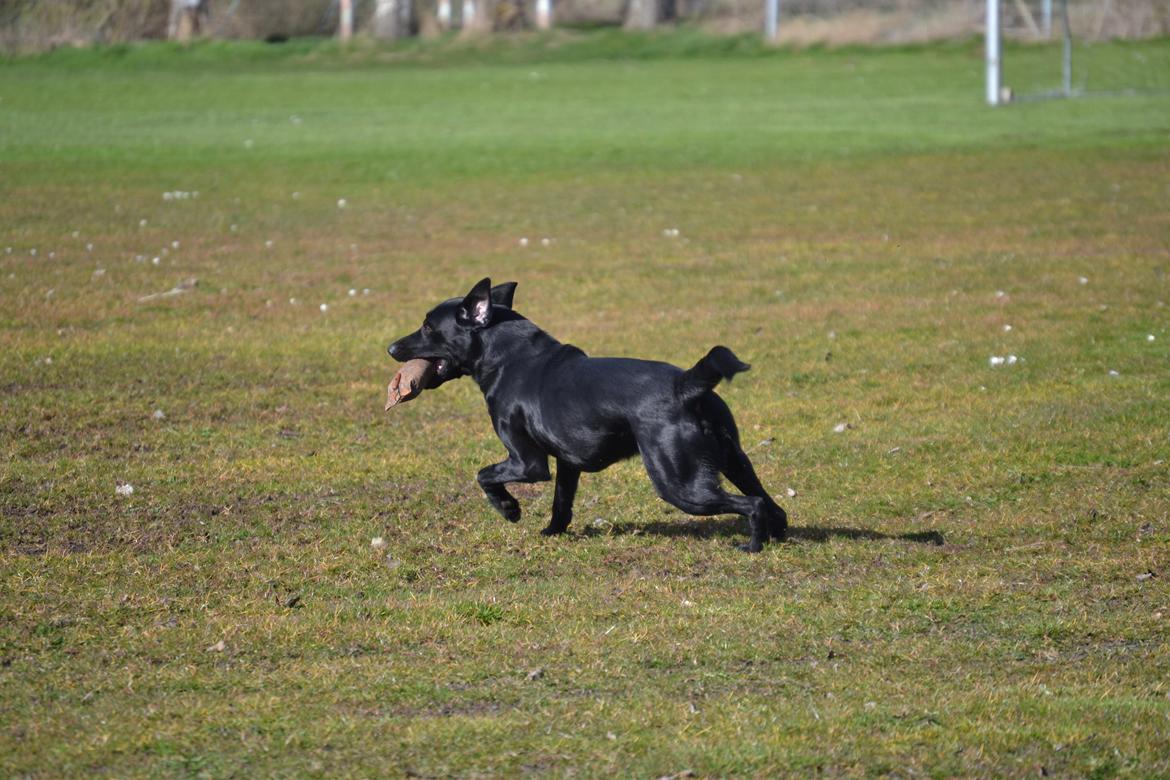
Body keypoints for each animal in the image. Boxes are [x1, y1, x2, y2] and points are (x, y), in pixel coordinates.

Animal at [390, 277, 786, 551]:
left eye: (428, 326)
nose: (391, 347)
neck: (508, 357)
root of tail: (687, 384)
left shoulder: (528, 462)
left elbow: (484, 475)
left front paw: (509, 509)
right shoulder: (567, 463)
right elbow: (561, 504)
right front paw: (551, 533)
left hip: (678, 482)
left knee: (752, 504)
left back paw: (751, 547)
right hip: (735, 460)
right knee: (772, 505)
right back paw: (777, 539)